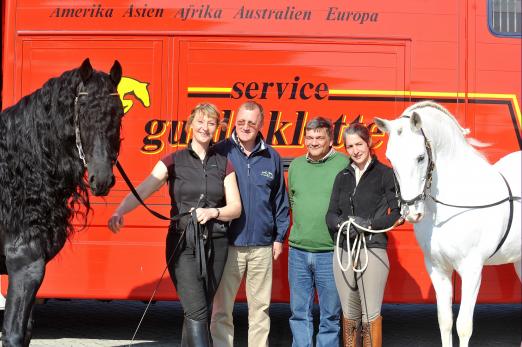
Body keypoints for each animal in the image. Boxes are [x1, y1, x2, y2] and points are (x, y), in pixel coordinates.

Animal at [372, 101, 516, 347]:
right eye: (390, 158)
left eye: (421, 157)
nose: (411, 212)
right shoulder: (437, 268)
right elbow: (445, 322)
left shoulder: (472, 270)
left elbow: (464, 326)